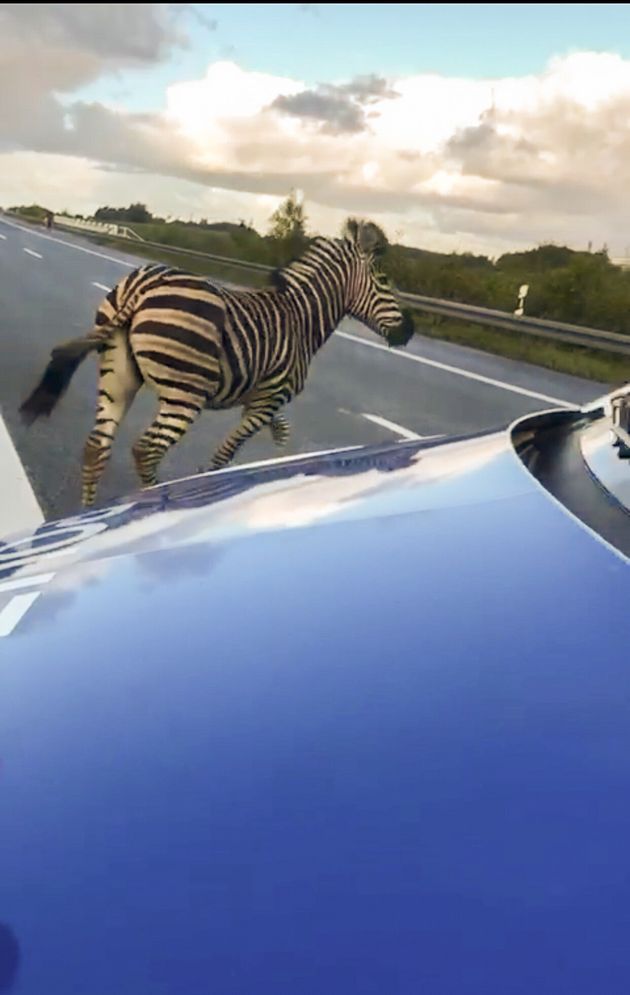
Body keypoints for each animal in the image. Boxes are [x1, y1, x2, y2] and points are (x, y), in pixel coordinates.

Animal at [18, 222, 414, 510]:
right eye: (383, 282)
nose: (409, 331)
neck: (301, 320)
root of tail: (141, 286)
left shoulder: (266, 398)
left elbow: (282, 434)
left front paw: (286, 468)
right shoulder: (267, 400)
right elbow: (226, 453)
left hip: (119, 377)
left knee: (97, 446)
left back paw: (89, 513)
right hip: (185, 394)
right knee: (146, 450)